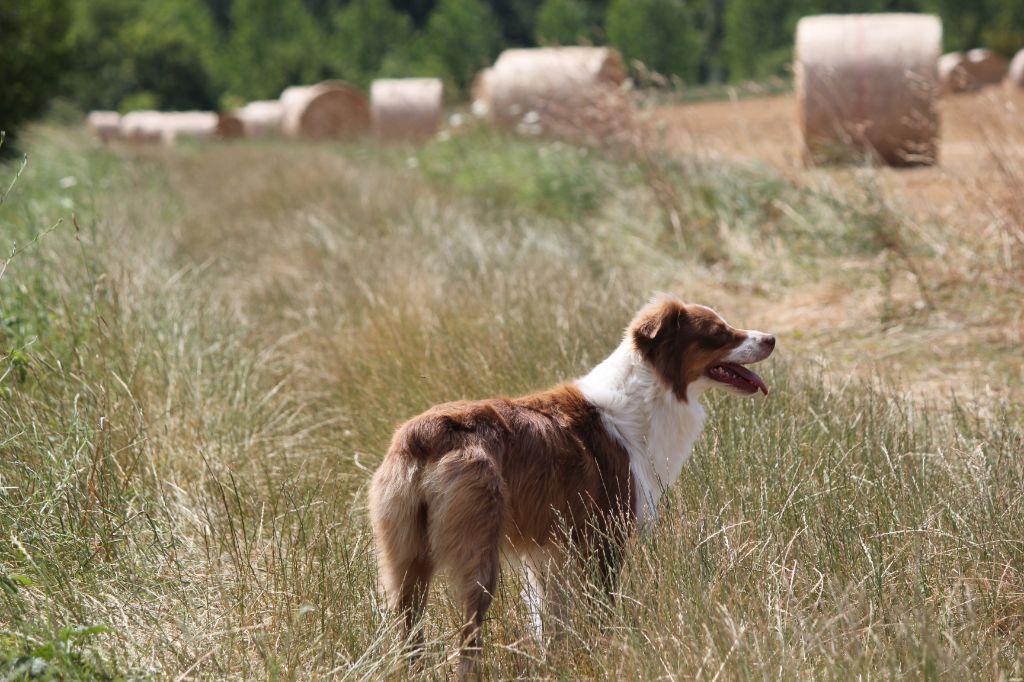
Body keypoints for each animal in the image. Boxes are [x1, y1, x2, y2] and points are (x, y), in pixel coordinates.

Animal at [368, 294, 774, 671]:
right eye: (718, 332)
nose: (771, 338)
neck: (651, 393)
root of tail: (421, 436)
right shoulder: (605, 539)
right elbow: (601, 612)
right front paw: (609, 654)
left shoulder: (549, 554)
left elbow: (551, 623)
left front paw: (558, 662)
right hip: (478, 561)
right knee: (467, 645)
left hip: (406, 565)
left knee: (410, 638)